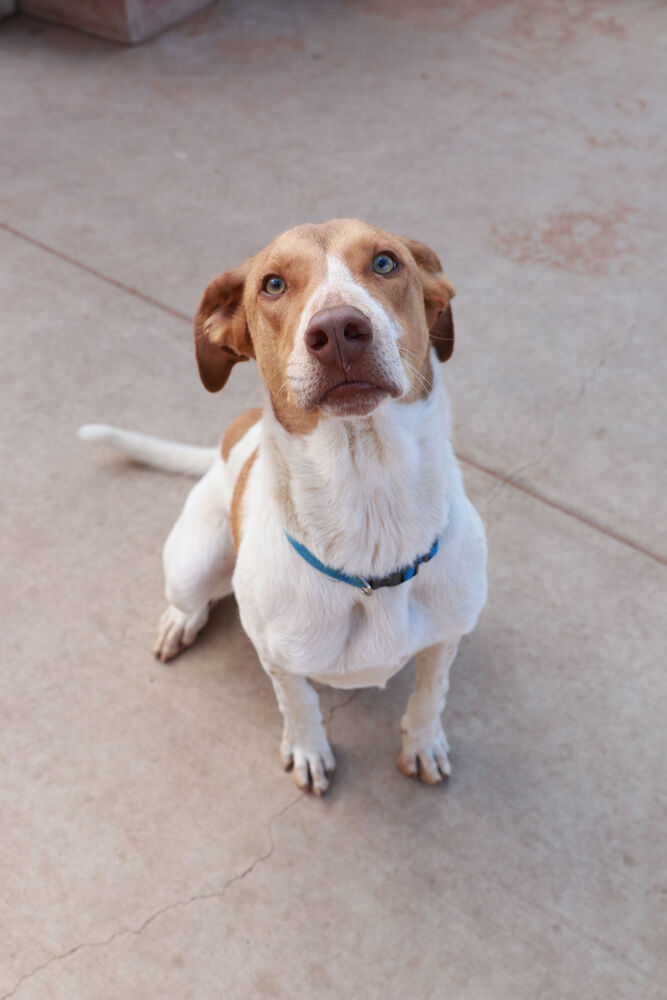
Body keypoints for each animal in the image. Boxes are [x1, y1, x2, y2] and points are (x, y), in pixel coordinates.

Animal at [81, 221, 488, 796]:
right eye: (272, 284)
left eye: (385, 262)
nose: (338, 329)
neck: (369, 510)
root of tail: (229, 444)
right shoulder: (278, 659)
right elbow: (298, 703)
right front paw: (308, 750)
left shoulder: (447, 637)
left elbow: (431, 693)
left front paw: (423, 743)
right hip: (191, 564)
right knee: (192, 596)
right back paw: (180, 620)